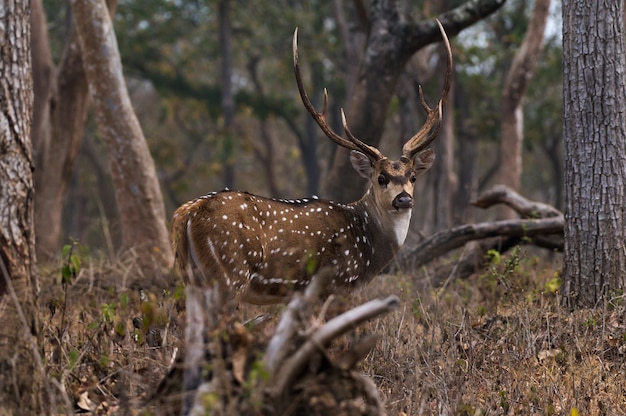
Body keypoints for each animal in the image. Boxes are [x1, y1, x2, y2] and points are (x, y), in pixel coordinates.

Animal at [171, 21, 450, 304]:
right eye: (381, 178)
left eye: (413, 176)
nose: (404, 199)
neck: (368, 250)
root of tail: (185, 214)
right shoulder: (337, 283)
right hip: (229, 273)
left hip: (191, 276)